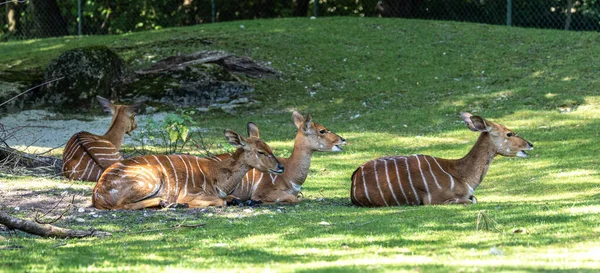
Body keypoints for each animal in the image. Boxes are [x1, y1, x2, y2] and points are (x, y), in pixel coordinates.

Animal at [91, 122, 284, 209]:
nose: (280, 167)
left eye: (269, 148)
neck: (217, 176)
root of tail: (98, 194)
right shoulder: (190, 194)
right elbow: (220, 201)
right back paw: (168, 203)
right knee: (121, 204)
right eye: (261, 152)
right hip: (151, 181)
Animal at [352, 111, 536, 205]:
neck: (461, 174)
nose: (530, 144)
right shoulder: (435, 200)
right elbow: (472, 201)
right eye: (509, 133)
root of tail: (355, 176)